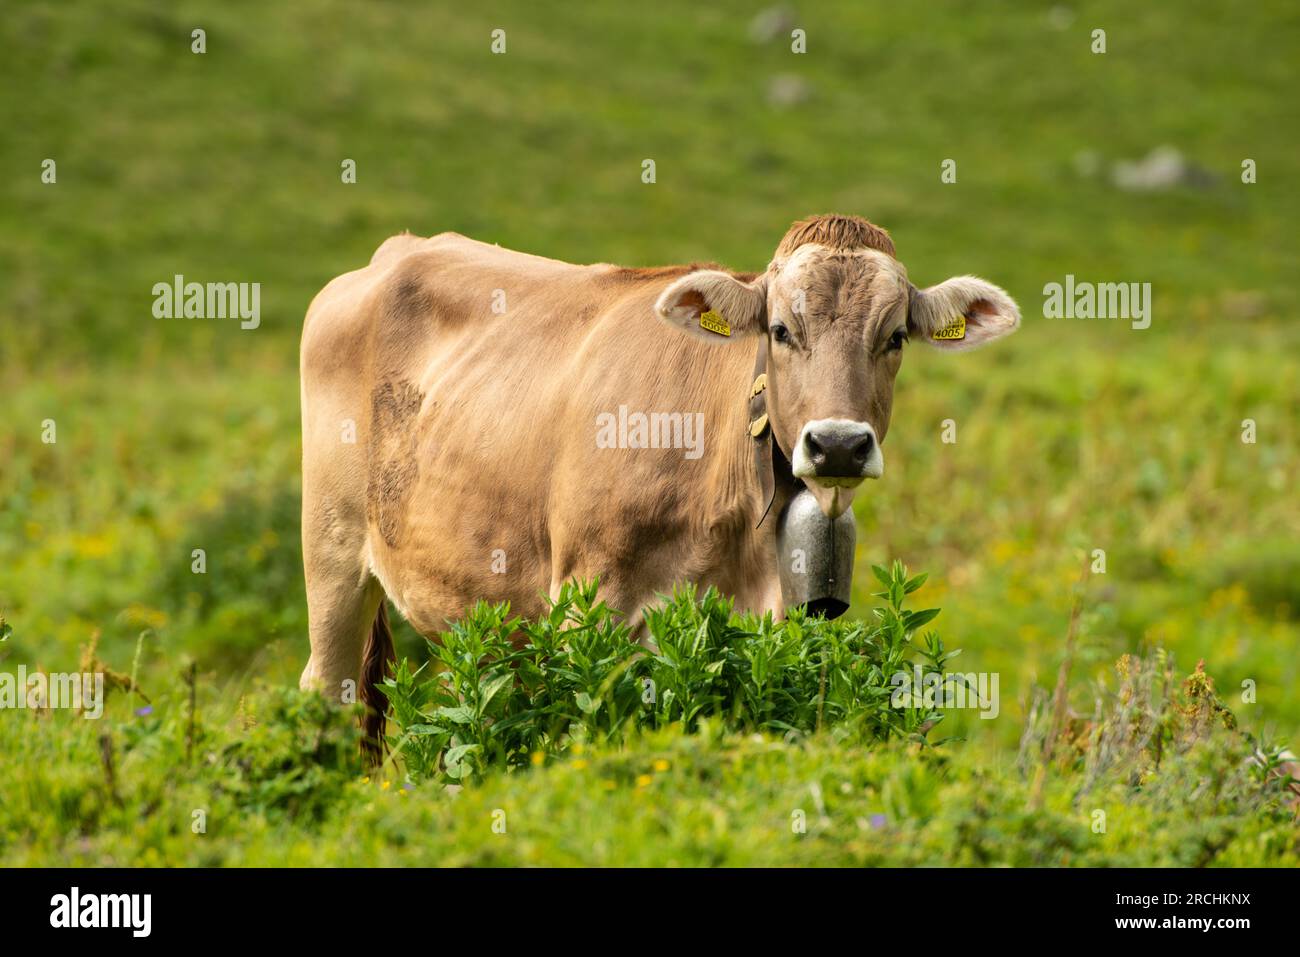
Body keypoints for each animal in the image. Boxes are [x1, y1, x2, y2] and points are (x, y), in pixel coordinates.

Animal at [299, 213, 1019, 743]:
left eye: (894, 336)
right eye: (780, 329)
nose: (838, 444)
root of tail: (395, 251)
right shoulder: (587, 600)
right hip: (332, 554)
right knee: (327, 690)